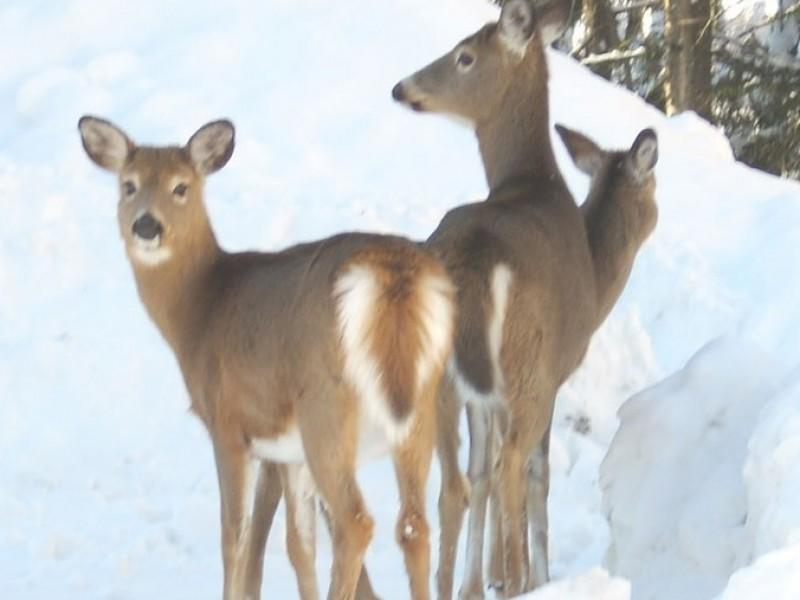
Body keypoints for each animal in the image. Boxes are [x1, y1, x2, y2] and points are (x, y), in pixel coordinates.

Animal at [82, 116, 460, 600]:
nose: (146, 226)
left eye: (181, 187)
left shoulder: (227, 425)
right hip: (420, 404)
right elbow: (298, 544)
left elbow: (235, 538)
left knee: (355, 522)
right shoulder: (287, 451)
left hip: (326, 404)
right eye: (128, 185)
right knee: (413, 525)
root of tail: (393, 274)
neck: (200, 308)